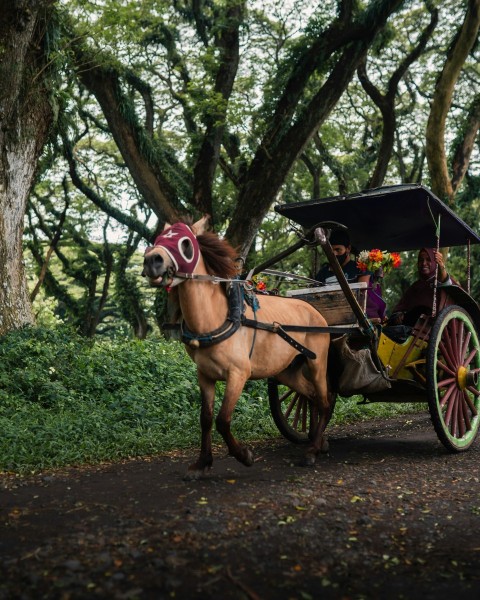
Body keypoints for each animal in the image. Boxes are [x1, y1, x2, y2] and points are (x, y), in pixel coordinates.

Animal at [142, 216, 334, 478]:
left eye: (185, 244)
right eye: (158, 239)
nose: (152, 260)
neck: (215, 318)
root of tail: (314, 311)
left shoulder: (238, 374)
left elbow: (223, 420)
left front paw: (244, 455)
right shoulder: (205, 375)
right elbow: (205, 418)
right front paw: (202, 463)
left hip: (317, 362)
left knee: (324, 402)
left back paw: (312, 451)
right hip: (286, 370)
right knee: (310, 395)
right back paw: (318, 440)